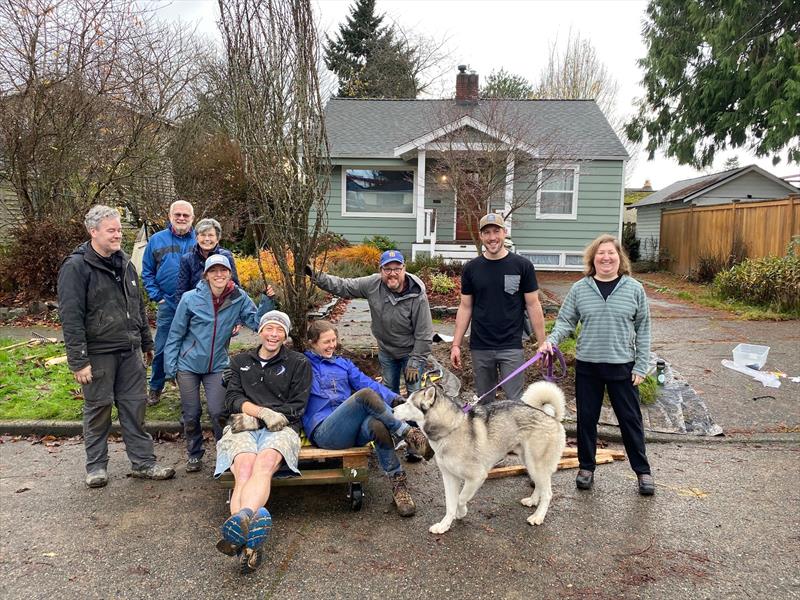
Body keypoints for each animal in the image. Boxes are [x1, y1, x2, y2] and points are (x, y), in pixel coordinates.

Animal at [396, 382, 564, 532]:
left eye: (409, 403)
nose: (392, 409)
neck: (451, 429)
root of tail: (550, 416)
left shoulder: (476, 477)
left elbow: (460, 499)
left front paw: (461, 513)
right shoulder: (449, 477)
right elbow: (450, 504)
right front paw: (444, 525)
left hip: (536, 464)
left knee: (548, 493)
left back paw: (538, 517)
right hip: (529, 463)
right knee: (539, 486)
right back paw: (533, 500)